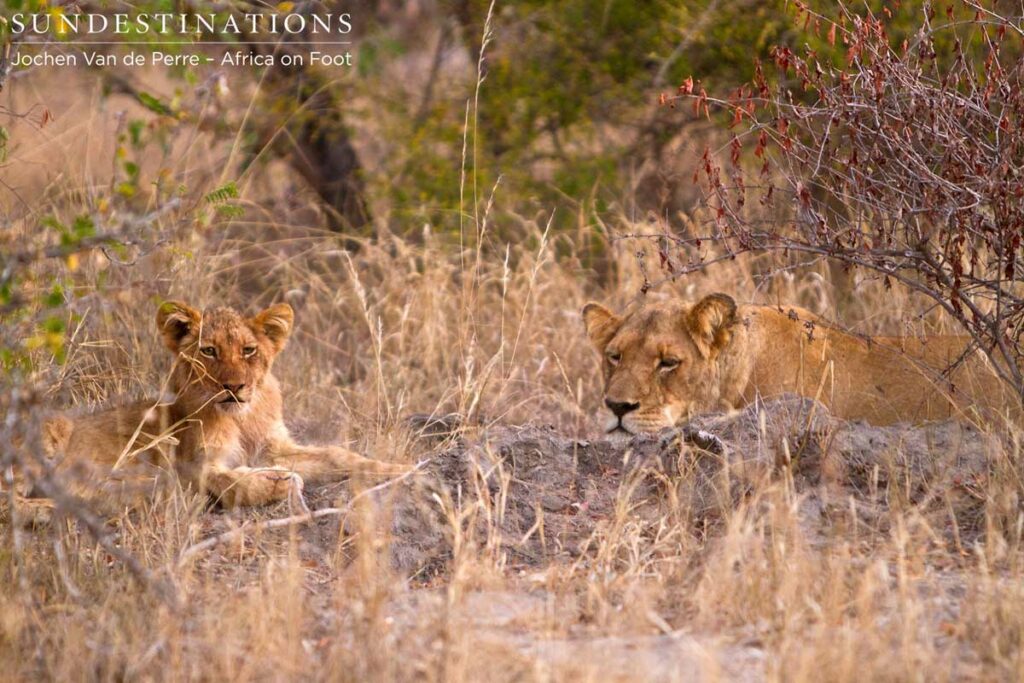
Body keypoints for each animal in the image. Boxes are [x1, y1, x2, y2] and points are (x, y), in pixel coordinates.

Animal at [24, 300, 408, 515]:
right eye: (209, 351)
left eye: (249, 350)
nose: (234, 386)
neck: (243, 419)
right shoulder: (192, 468)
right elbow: (234, 483)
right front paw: (277, 482)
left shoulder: (275, 448)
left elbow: (337, 455)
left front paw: (399, 469)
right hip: (47, 430)